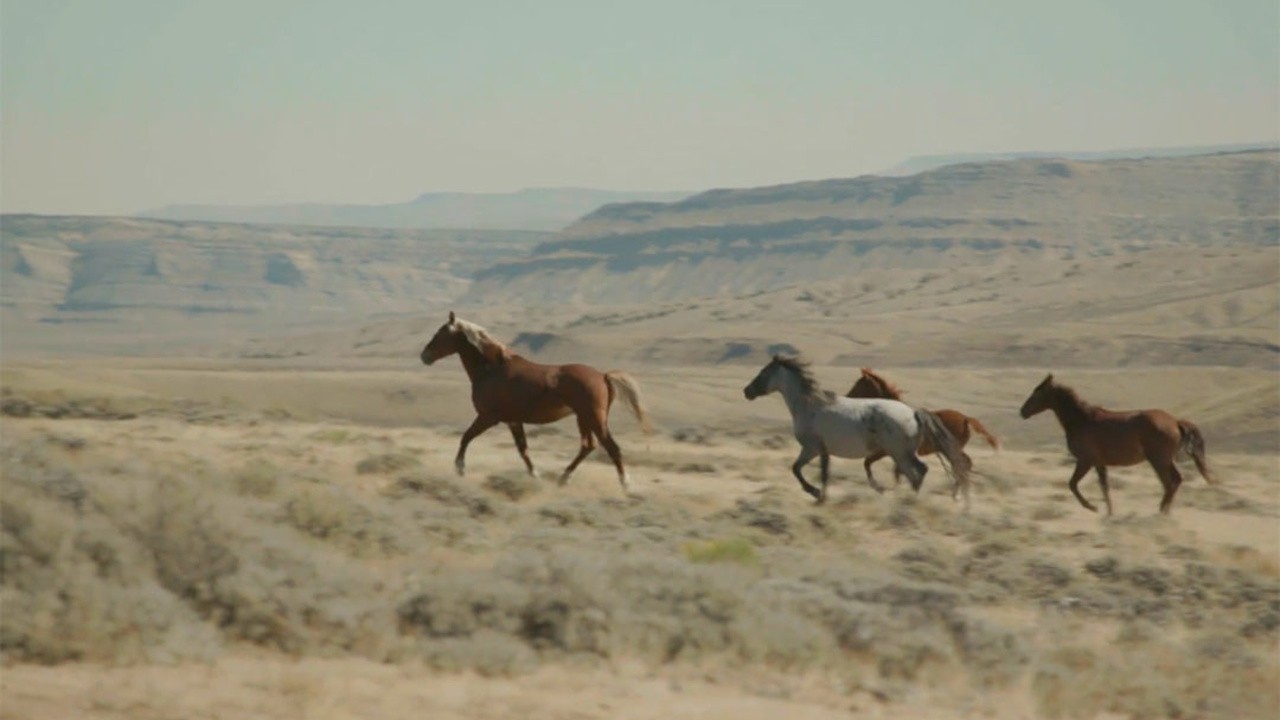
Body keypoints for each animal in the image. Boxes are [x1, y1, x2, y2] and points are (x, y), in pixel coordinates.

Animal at [424, 311, 655, 489]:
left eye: (440, 334)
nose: (424, 356)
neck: (491, 370)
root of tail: (603, 376)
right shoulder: (513, 421)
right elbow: (523, 450)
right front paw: (535, 475)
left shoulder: (488, 417)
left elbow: (466, 437)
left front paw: (460, 468)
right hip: (584, 419)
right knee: (589, 445)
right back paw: (564, 478)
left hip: (593, 418)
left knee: (611, 447)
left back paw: (625, 484)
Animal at [742, 353, 967, 502]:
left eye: (763, 373)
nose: (747, 391)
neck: (809, 406)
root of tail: (913, 413)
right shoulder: (820, 451)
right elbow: (811, 472)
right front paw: (820, 496)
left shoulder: (813, 448)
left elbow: (803, 471)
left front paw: (817, 494)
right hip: (900, 454)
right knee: (918, 472)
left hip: (900, 453)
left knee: (917, 473)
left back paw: (909, 502)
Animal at [849, 363, 998, 486]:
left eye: (858, 384)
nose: (848, 396)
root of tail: (965, 418)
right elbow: (895, 472)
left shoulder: (885, 451)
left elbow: (869, 463)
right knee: (964, 464)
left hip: (952, 449)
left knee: (963, 464)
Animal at [1018, 371, 1218, 512]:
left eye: (1036, 393)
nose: (1022, 411)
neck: (1082, 420)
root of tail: (1175, 422)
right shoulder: (1099, 463)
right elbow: (1104, 488)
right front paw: (1109, 513)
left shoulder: (1085, 460)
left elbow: (1073, 484)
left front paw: (1093, 508)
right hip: (1165, 460)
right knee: (1175, 481)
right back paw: (1164, 511)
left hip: (1159, 460)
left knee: (1170, 483)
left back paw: (1161, 512)